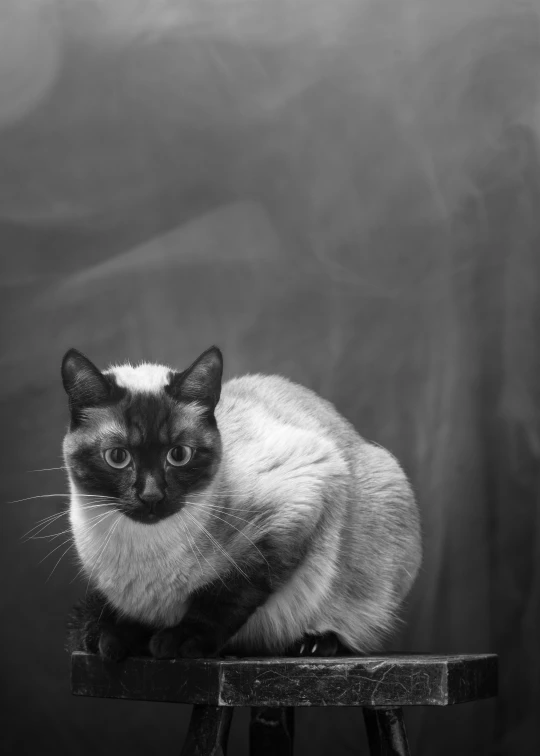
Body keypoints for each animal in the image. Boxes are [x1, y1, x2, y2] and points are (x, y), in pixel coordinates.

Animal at [62, 346, 422, 660]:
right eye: (118, 457)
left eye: (178, 455)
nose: (151, 496)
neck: (143, 553)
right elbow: (118, 623)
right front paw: (113, 640)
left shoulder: (298, 502)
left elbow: (228, 595)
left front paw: (178, 642)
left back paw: (316, 643)